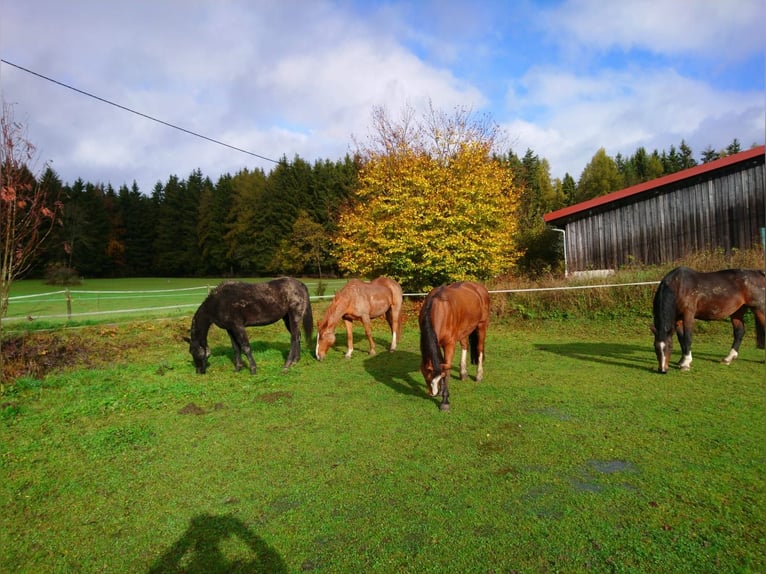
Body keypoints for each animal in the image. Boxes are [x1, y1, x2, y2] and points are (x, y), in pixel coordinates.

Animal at [184, 278, 314, 376]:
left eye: (193, 352)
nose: (199, 371)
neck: (218, 302)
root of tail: (300, 284)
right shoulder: (230, 329)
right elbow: (236, 348)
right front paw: (238, 368)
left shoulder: (238, 326)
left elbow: (245, 347)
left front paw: (253, 369)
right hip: (287, 318)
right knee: (297, 336)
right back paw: (295, 361)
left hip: (294, 315)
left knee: (293, 339)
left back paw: (287, 365)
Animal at [420, 282, 492, 410]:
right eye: (425, 375)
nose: (433, 393)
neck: (438, 309)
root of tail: (479, 287)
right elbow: (442, 365)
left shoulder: (449, 345)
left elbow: (447, 368)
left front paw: (445, 400)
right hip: (464, 329)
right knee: (465, 345)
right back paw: (463, 373)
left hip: (482, 325)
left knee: (479, 349)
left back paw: (479, 375)